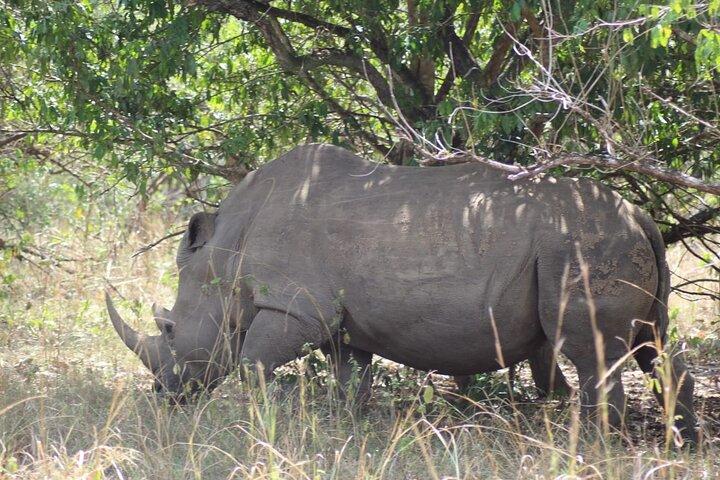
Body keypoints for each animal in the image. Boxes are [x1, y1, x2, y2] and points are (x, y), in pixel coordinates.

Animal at [106, 144, 696, 440]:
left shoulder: (296, 308)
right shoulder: (338, 320)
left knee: (594, 353)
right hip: (607, 242)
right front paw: (345, 432)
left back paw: (595, 447)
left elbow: (252, 364)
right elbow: (350, 378)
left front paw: (257, 425)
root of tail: (640, 214)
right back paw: (680, 441)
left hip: (581, 245)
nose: (164, 395)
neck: (226, 250)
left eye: (170, 330)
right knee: (650, 345)